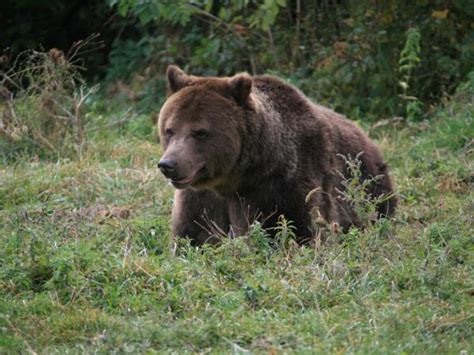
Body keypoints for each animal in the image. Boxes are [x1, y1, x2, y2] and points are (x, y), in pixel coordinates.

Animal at [156, 65, 396, 246]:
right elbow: (192, 235)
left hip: (370, 186)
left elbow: (299, 229)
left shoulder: (285, 186)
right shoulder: (200, 198)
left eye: (200, 132)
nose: (168, 164)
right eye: (169, 130)